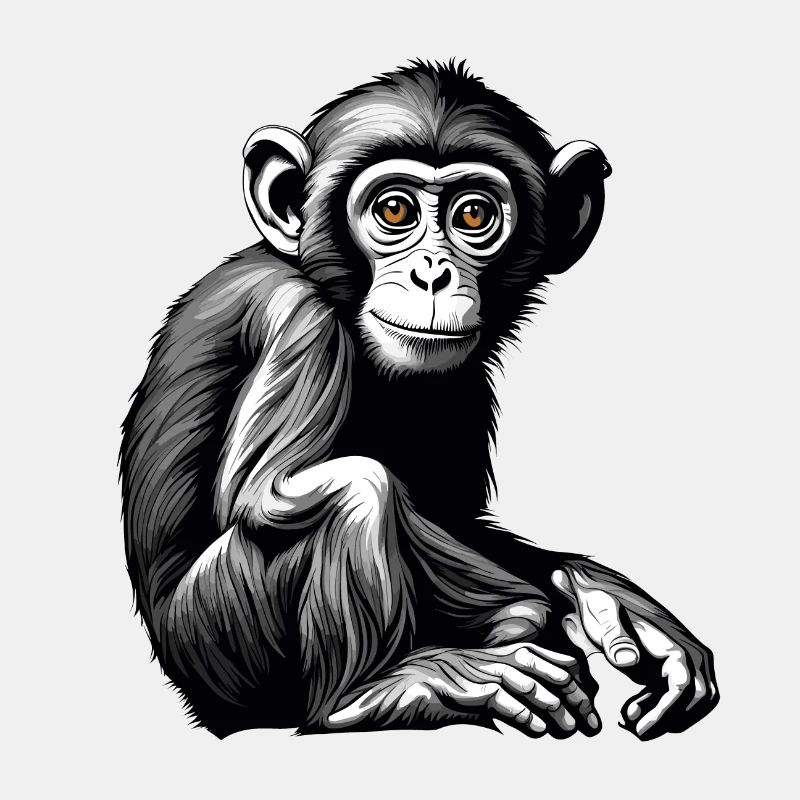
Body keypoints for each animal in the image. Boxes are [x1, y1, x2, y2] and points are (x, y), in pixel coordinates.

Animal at [121, 60, 718, 740]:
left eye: (475, 215)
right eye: (395, 209)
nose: (431, 272)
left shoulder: (464, 382)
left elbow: (452, 510)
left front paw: (602, 598)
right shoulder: (297, 317)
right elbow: (266, 493)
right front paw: (519, 617)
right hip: (223, 637)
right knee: (355, 490)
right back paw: (380, 691)